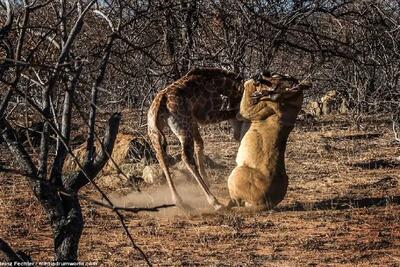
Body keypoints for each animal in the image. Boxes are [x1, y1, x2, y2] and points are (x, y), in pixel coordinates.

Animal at [146, 67, 241, 211]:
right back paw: (214, 202)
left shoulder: (193, 120)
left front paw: (206, 179)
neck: (217, 83)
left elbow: (200, 144)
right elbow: (233, 112)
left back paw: (179, 201)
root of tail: (159, 105)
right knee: (186, 158)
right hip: (183, 129)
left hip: (154, 132)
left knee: (162, 158)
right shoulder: (206, 115)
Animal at [228, 72, 312, 210]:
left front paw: (249, 82)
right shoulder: (239, 129)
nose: (262, 73)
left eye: (276, 77)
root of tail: (265, 204)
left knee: (237, 201)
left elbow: (245, 101)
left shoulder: (249, 110)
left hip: (238, 172)